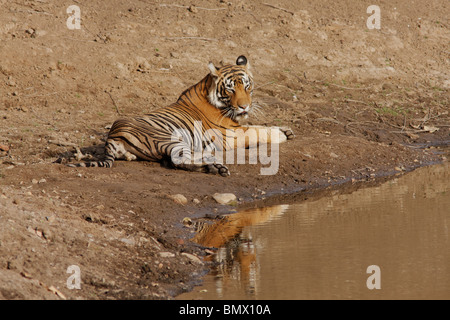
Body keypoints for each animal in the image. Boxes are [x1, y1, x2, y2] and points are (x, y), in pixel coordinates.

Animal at [68, 55, 296, 175]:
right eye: (231, 89)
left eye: (247, 86)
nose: (244, 107)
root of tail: (112, 136)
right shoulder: (230, 134)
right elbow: (256, 131)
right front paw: (282, 135)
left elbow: (260, 125)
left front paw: (285, 130)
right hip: (168, 138)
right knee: (178, 160)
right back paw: (217, 167)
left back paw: (213, 164)